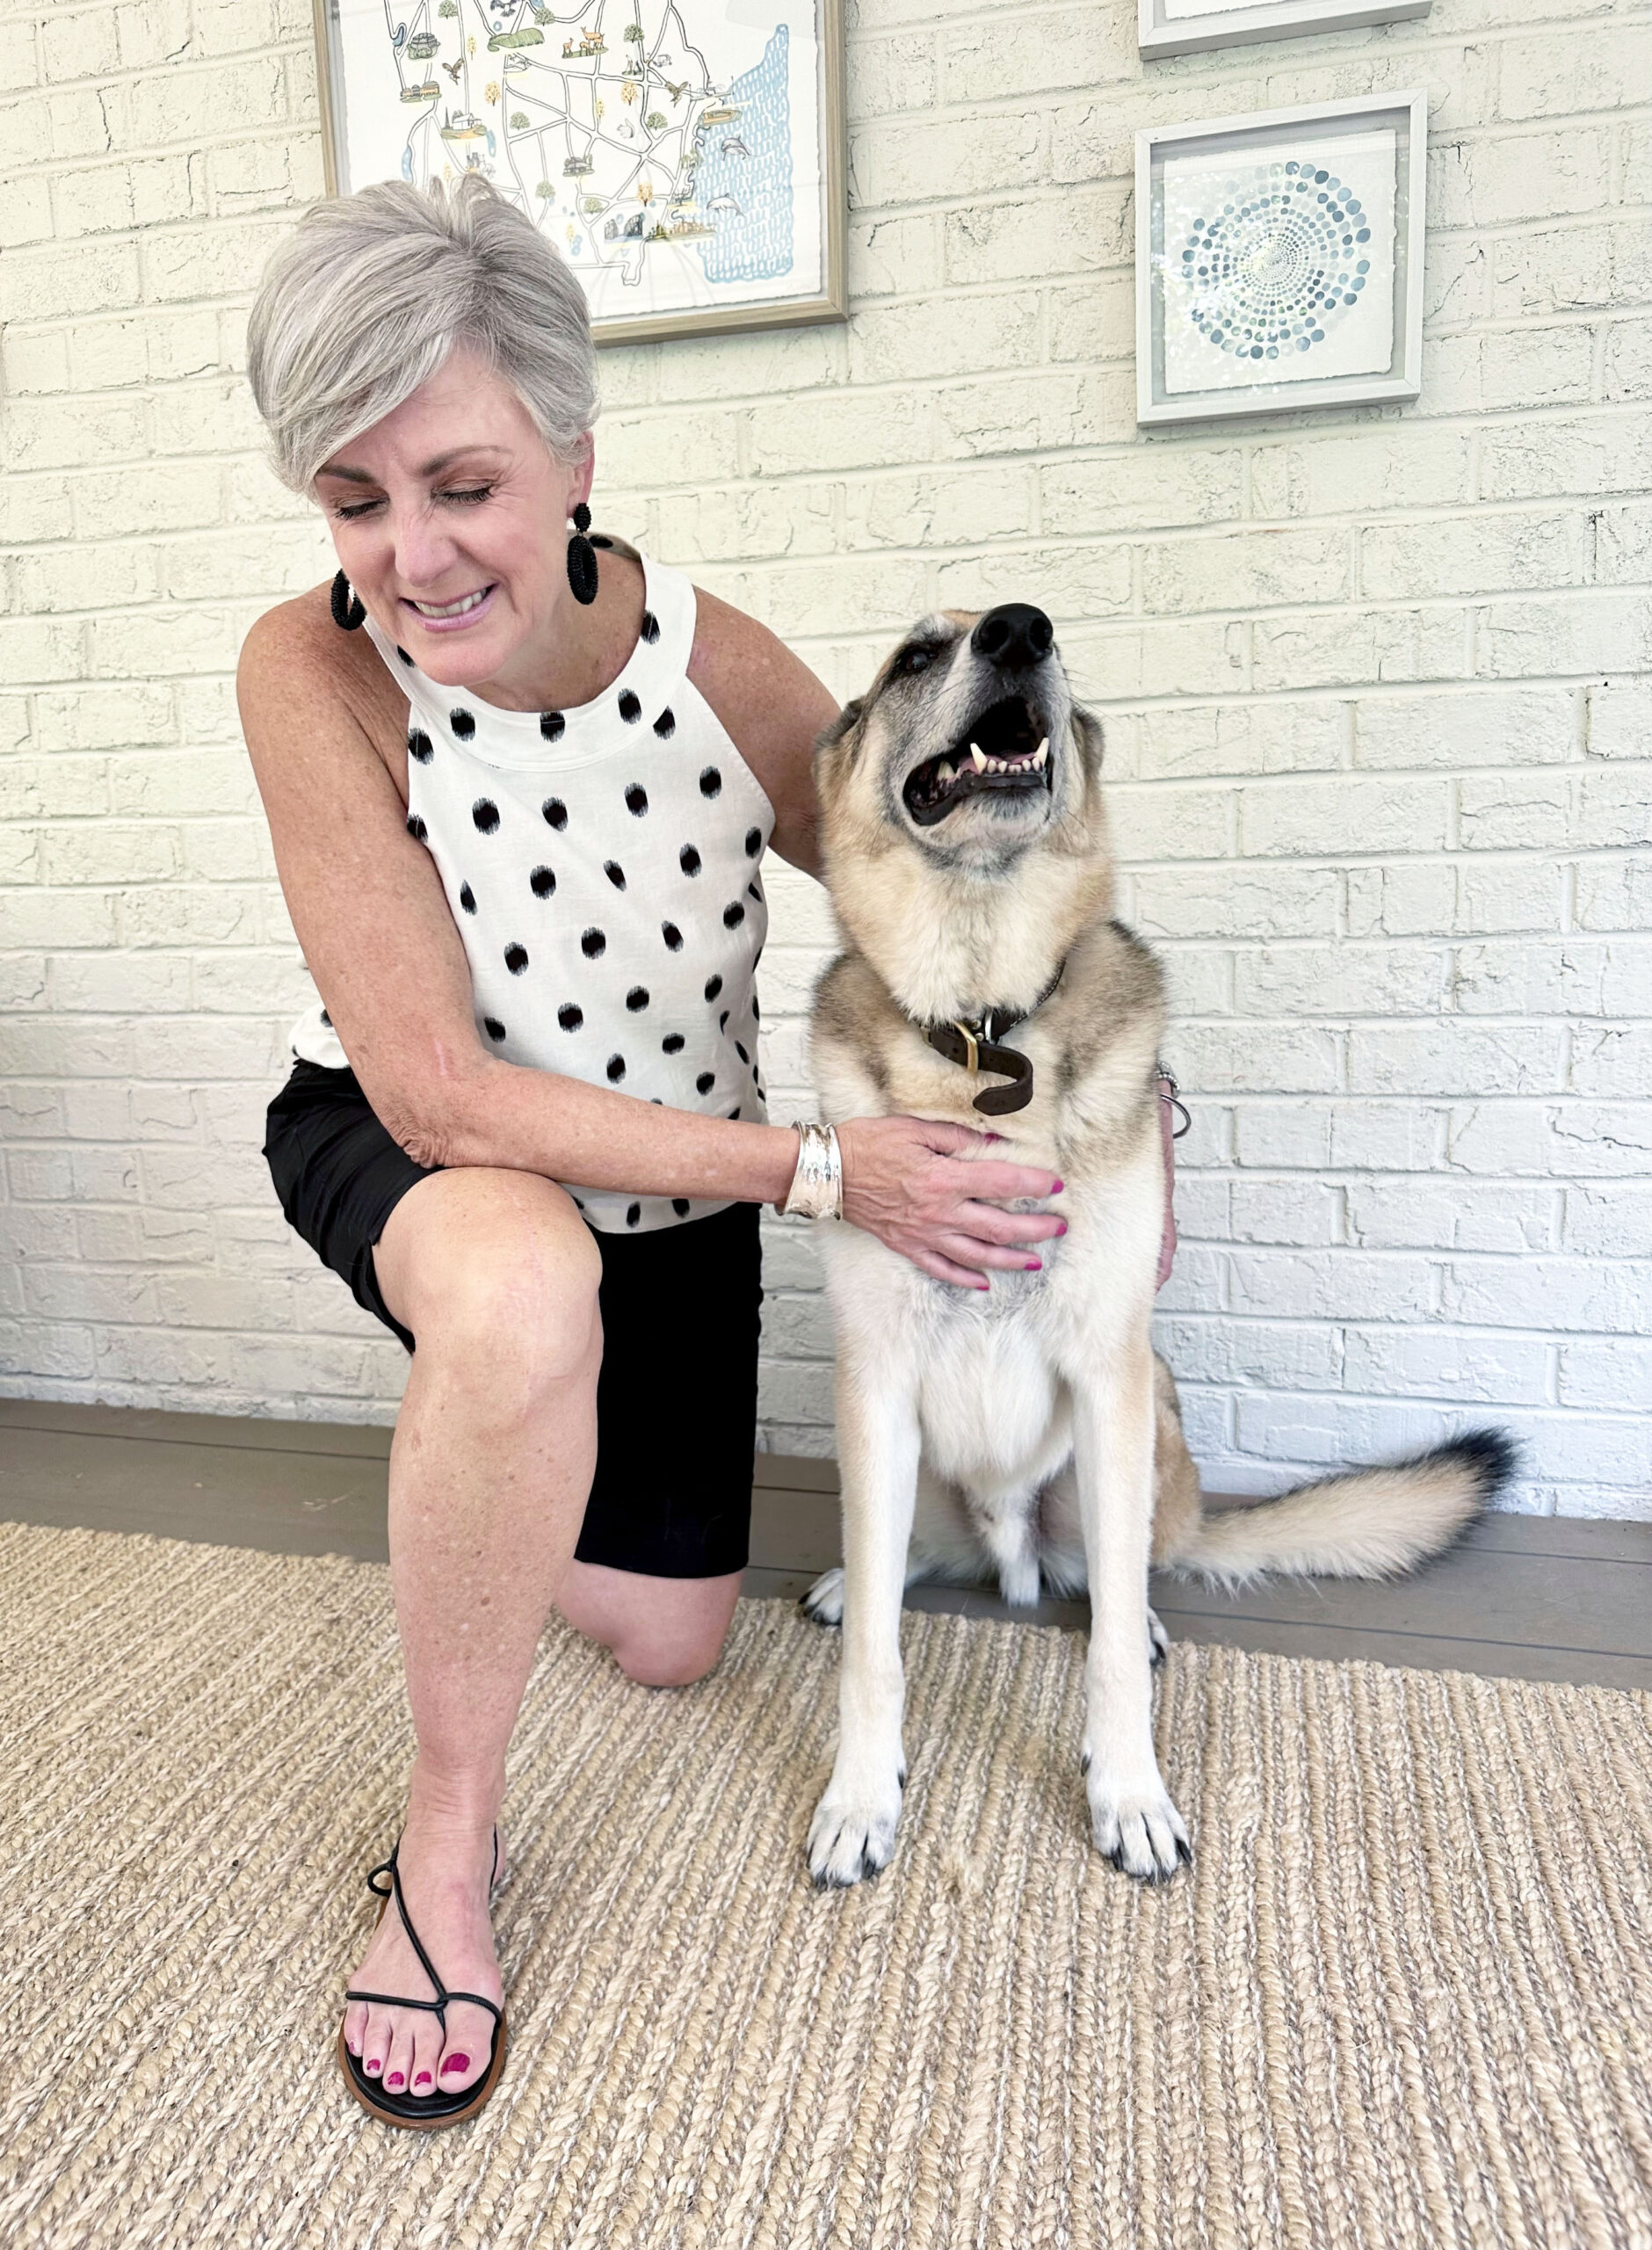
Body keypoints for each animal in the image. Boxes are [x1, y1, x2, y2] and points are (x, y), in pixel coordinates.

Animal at [800, 602, 1515, 1888]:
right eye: (916, 657)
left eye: (1026, 637)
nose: (1022, 632)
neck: (984, 1028)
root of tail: (1009, 1545)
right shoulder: (873, 1384)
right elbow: (878, 1650)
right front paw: (860, 1799)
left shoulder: (1105, 1369)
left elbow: (1108, 1653)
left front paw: (1127, 1792)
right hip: (900, 1461)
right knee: (900, 1566)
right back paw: (850, 1579)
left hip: (1142, 1424)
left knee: (1122, 1577)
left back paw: (1138, 1615)